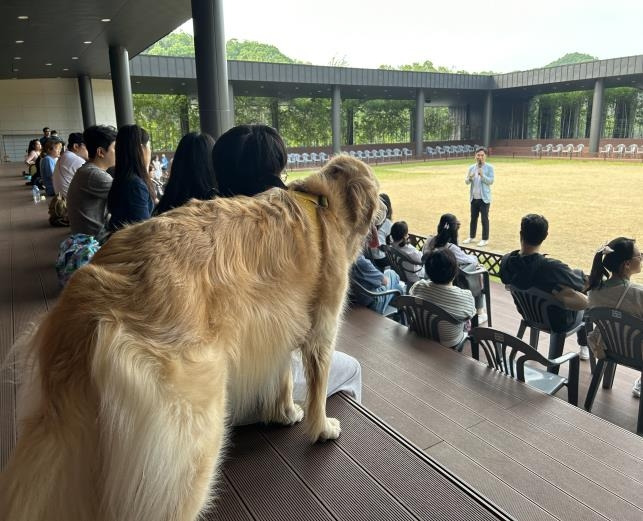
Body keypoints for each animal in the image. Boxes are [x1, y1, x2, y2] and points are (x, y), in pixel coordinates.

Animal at [0, 154, 382, 520]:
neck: (323, 202)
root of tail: (91, 298)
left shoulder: (276, 330)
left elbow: (282, 377)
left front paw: (285, 412)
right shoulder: (321, 332)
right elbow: (317, 388)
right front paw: (322, 427)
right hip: (192, 436)